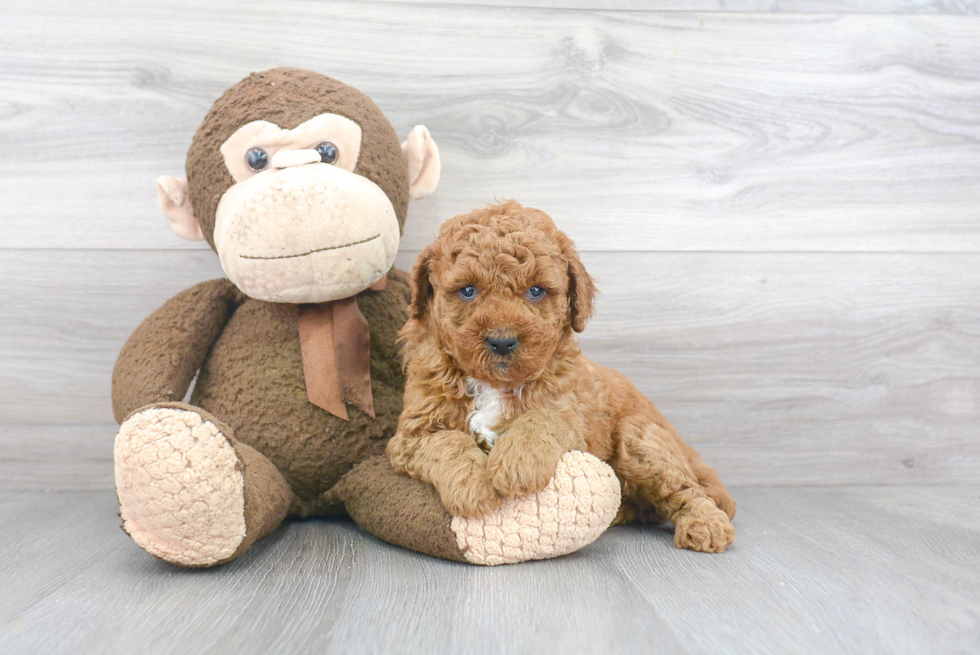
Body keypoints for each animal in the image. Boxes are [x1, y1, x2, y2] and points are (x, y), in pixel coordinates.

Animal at [386, 200, 740, 552]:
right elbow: (447, 442)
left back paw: (705, 525)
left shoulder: (571, 415)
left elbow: (540, 420)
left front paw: (517, 465)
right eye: (468, 290)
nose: (502, 341)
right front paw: (473, 487)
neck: (494, 385)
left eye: (536, 291)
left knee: (688, 490)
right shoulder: (413, 433)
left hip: (640, 439)